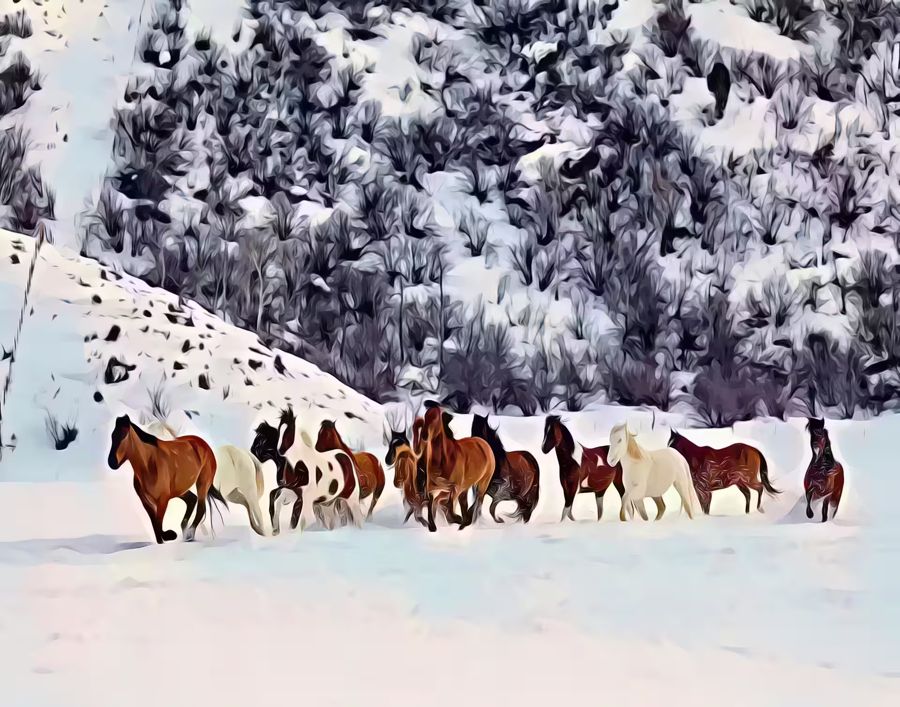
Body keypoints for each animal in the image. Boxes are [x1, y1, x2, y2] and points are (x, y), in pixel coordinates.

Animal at [107, 414, 227, 543]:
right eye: (112, 435)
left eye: (124, 435)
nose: (111, 462)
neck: (149, 464)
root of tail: (204, 444)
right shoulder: (146, 502)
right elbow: (155, 525)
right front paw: (164, 539)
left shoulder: (163, 499)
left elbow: (159, 523)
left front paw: (169, 535)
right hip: (179, 489)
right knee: (192, 500)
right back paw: (185, 531)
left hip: (202, 483)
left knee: (200, 508)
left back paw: (189, 534)